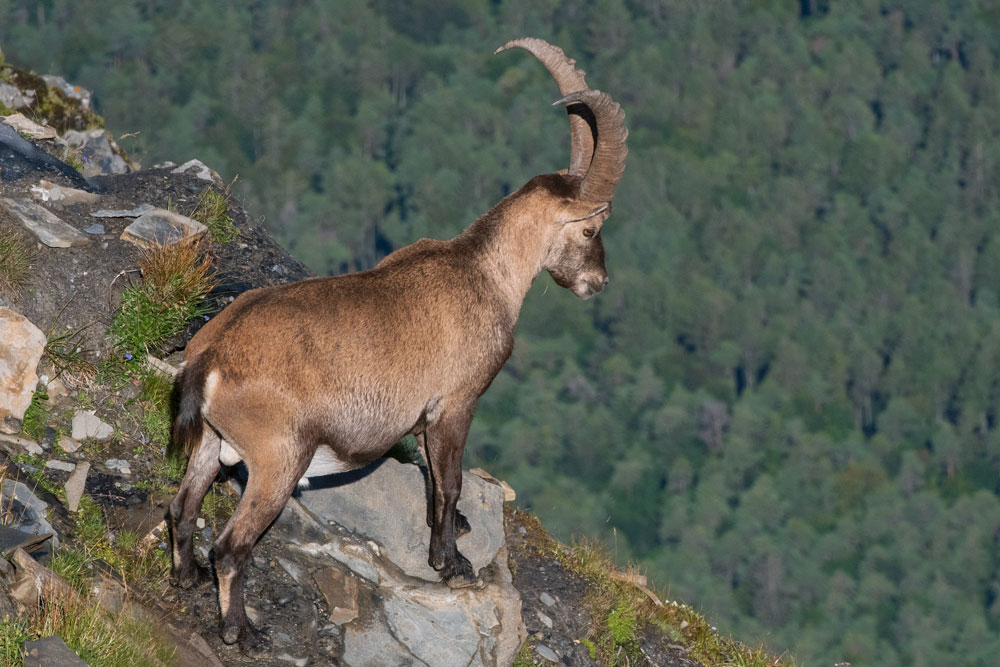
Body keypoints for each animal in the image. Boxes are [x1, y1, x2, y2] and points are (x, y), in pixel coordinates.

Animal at [167, 37, 628, 652]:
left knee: (181, 506)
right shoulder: (455, 404)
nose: (598, 282)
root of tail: (211, 359)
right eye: (590, 229)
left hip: (210, 444)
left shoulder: (426, 416)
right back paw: (240, 631)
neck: (485, 274)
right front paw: (451, 563)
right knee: (232, 545)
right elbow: (450, 482)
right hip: (278, 460)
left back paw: (186, 577)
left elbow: (434, 480)